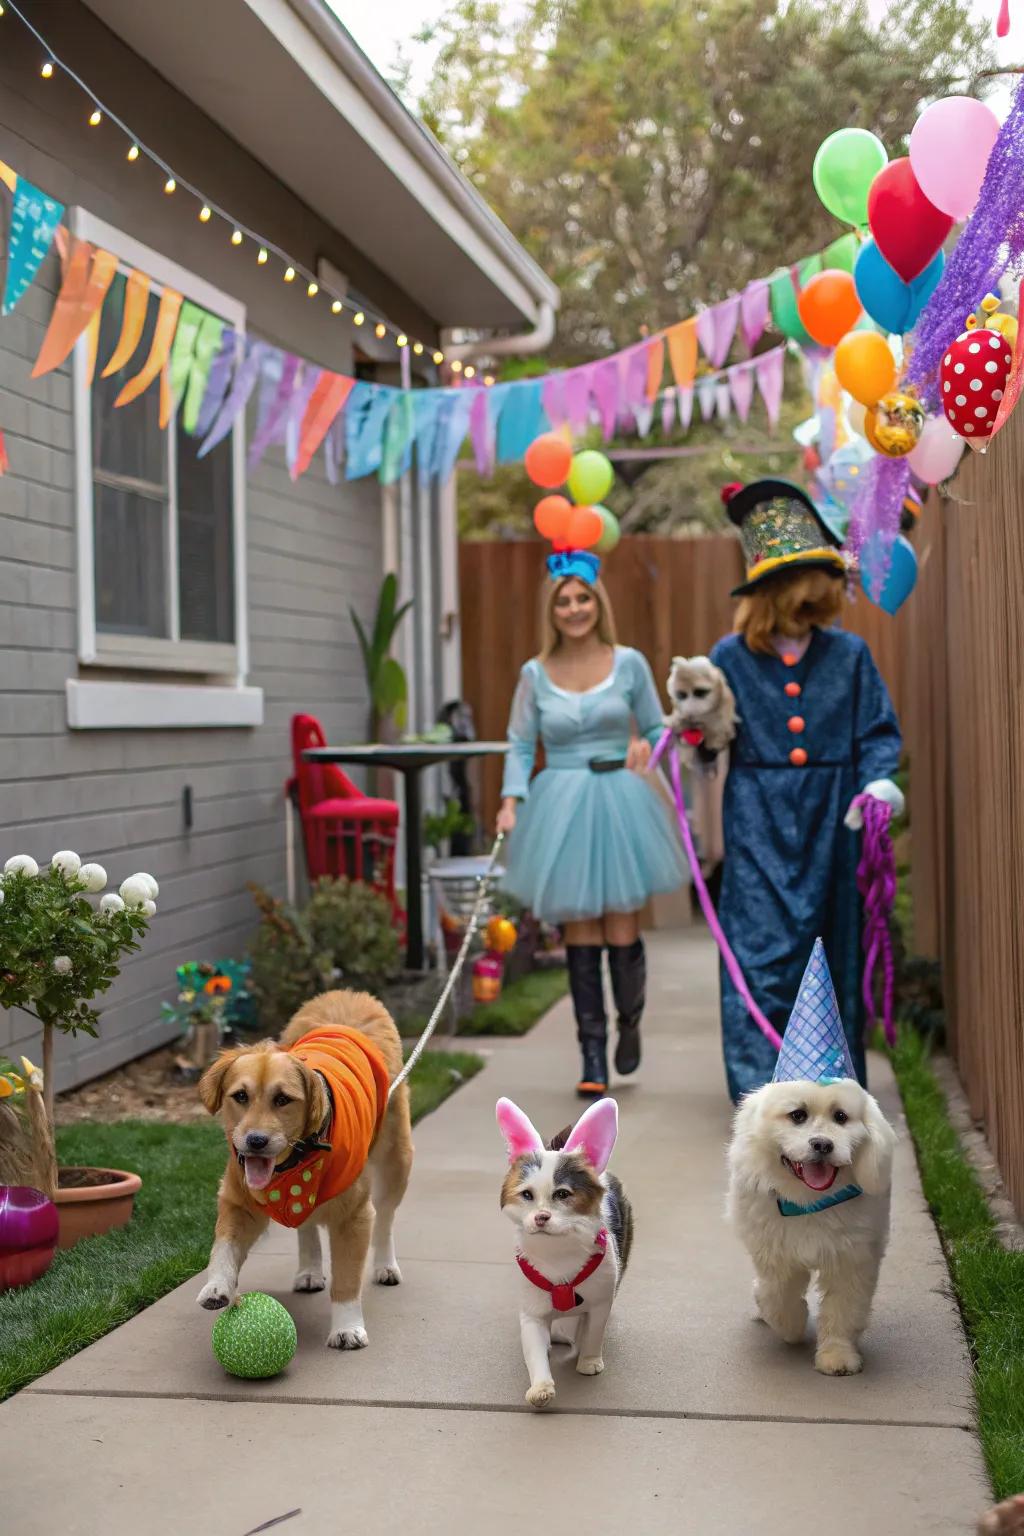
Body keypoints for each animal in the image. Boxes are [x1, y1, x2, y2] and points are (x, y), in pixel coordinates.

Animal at [196, 989, 411, 1351]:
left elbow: (347, 1277)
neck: (295, 1165)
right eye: (240, 1096)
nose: (255, 1141)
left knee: (385, 1218)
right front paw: (217, 1286)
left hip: (397, 1162)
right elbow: (223, 1245)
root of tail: (348, 994)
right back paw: (309, 1269)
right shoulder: (239, 1201)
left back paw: (385, 1265)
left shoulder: (354, 1214)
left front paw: (347, 1328)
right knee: (306, 1225)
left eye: (283, 1099)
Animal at [497, 1099, 632, 1406]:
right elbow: (534, 1349)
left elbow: (594, 1331)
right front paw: (541, 1388)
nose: (541, 1217)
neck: (557, 1253)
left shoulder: (599, 1300)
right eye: (527, 1195)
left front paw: (589, 1361)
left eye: (562, 1194)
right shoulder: (531, 1311)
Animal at [727, 1075, 896, 1376]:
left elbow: (843, 1311)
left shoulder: (851, 1261)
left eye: (841, 1117)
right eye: (798, 1115)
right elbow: (777, 1295)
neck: (809, 1202)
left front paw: (837, 1356)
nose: (822, 1145)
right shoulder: (775, 1257)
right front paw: (791, 1329)